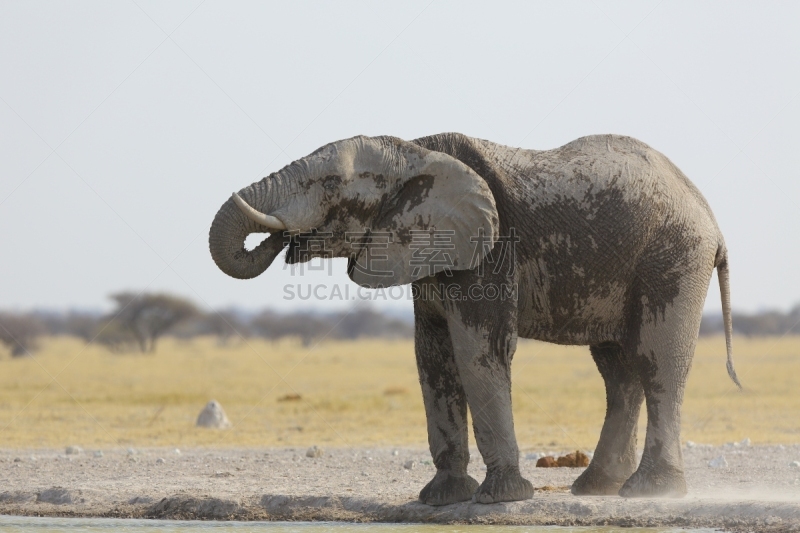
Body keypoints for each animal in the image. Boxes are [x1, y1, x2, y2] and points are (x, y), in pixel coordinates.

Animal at [209, 131, 740, 504]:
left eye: (328, 185)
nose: (283, 238)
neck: (416, 152)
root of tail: (712, 221)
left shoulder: (491, 252)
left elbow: (477, 351)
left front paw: (500, 500)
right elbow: (432, 358)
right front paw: (441, 500)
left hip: (672, 257)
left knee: (656, 364)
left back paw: (650, 491)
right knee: (617, 372)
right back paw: (597, 488)